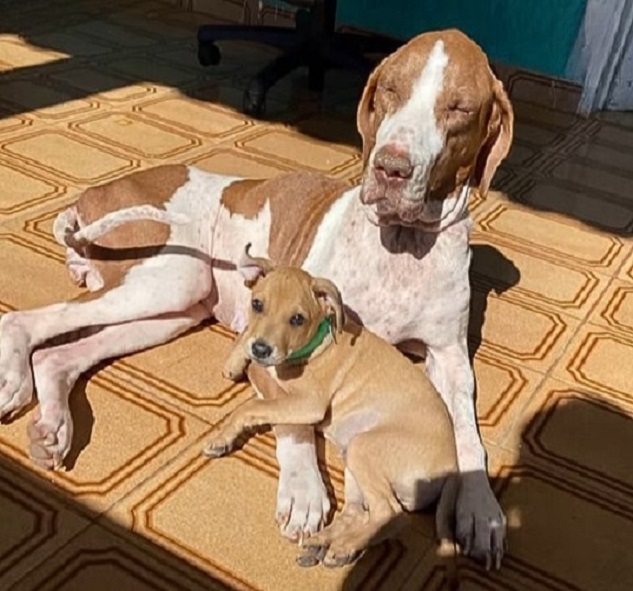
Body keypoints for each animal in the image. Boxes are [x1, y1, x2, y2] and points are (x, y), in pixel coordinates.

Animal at [0, 30, 512, 572]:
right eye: (390, 89)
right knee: (28, 320)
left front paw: (480, 507)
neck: (403, 247)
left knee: (59, 356)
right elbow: (291, 420)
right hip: (170, 277)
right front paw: (305, 491)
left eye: (459, 108)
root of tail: (93, 193)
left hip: (174, 307)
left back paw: (53, 426)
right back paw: (14, 380)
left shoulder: (450, 358)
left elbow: (467, 434)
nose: (391, 167)